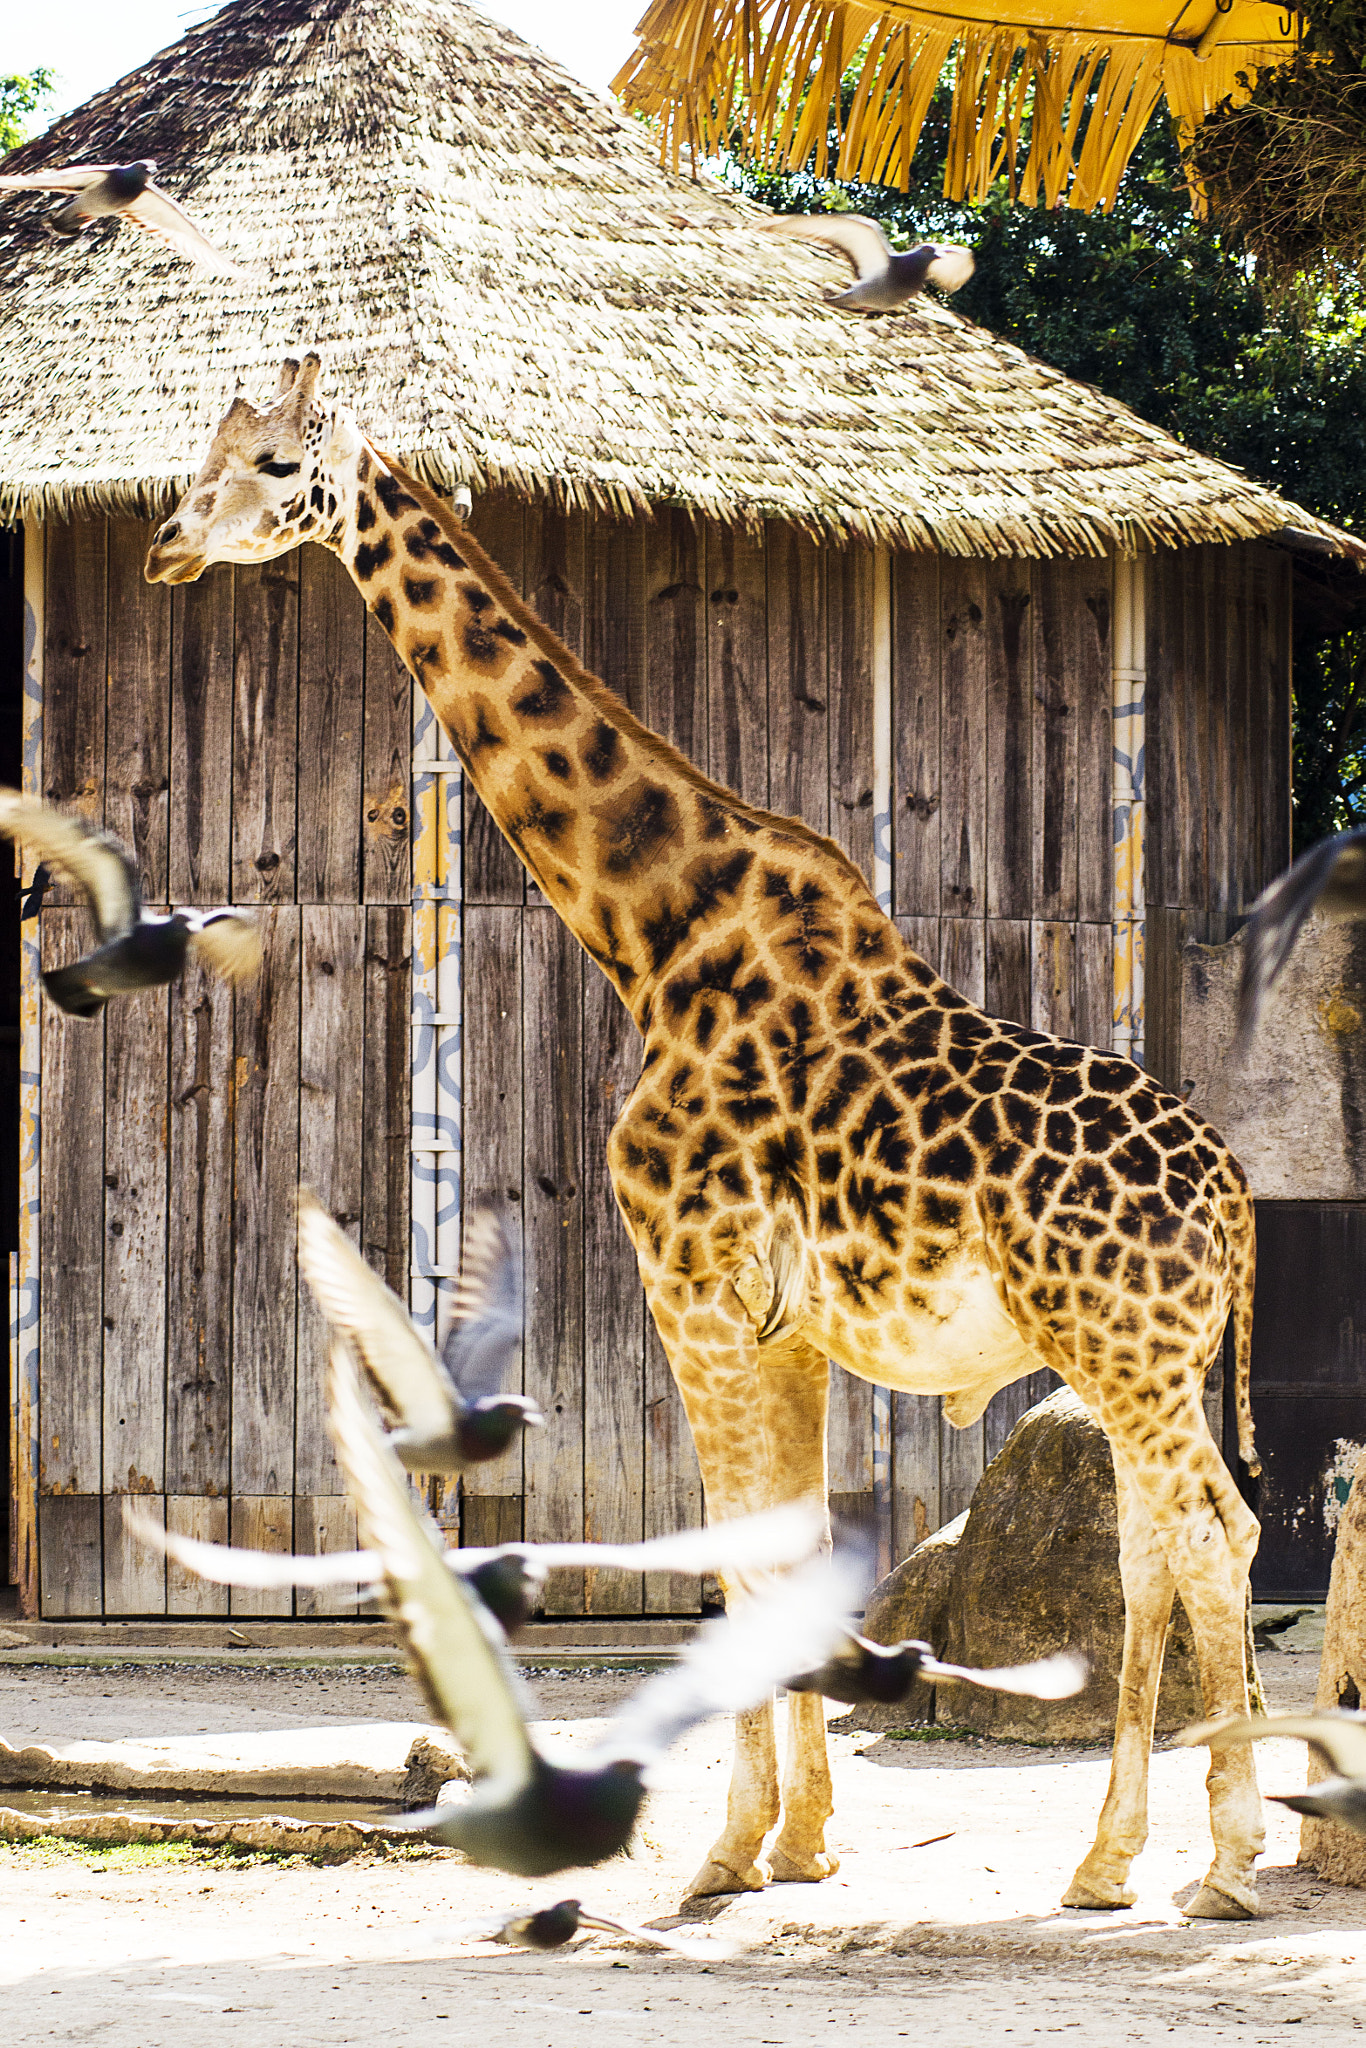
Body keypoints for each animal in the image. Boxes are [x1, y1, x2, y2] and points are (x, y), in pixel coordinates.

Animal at [144, 356, 1269, 1916]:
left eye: (264, 460)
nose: (163, 545)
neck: (650, 932)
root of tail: (1233, 1196)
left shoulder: (693, 1292)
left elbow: (740, 1564)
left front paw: (727, 1849)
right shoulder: (783, 1324)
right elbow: (785, 1556)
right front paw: (801, 1841)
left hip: (1126, 1351)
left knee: (1212, 1536)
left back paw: (1223, 1860)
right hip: (1138, 1357)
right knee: (1168, 1544)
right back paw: (1107, 1861)